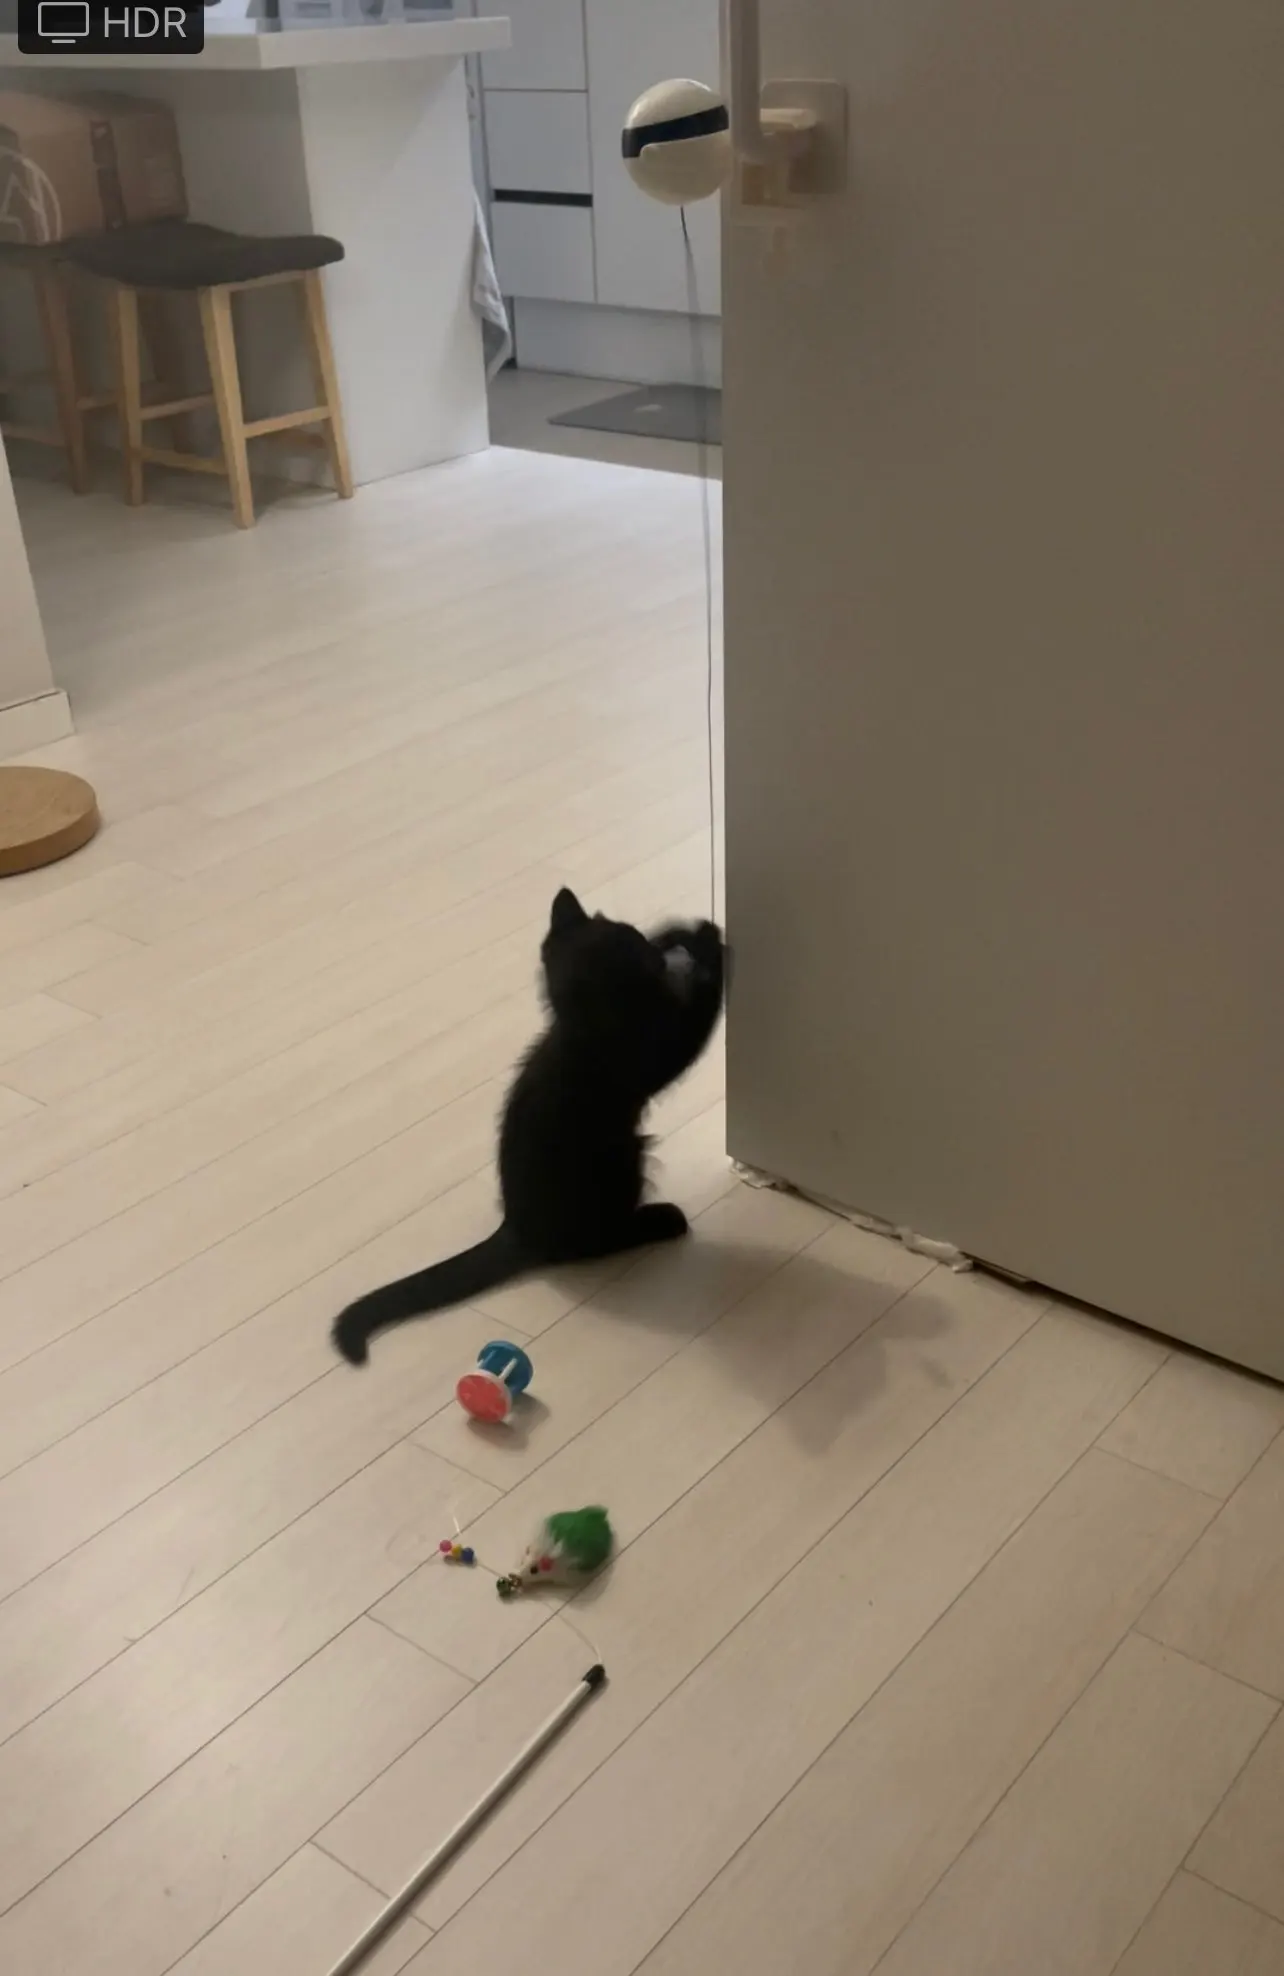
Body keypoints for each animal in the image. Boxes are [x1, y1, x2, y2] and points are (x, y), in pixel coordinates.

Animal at [331, 887, 725, 1365]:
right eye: (636, 946)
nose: (655, 949)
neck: (580, 1026)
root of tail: (516, 1228)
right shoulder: (654, 1052)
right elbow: (696, 1024)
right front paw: (709, 941)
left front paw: (677, 929)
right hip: (621, 1159)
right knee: (593, 1243)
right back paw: (660, 1220)